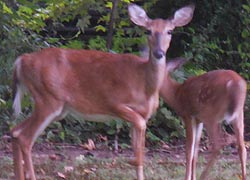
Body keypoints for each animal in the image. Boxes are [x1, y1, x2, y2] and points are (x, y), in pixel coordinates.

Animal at [10, 3, 194, 180]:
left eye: (170, 31)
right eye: (148, 31)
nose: (159, 53)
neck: (145, 84)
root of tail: (21, 61)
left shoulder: (142, 114)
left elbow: (139, 150)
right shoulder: (114, 102)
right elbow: (140, 141)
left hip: (54, 106)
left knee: (15, 131)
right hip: (48, 98)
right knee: (25, 138)